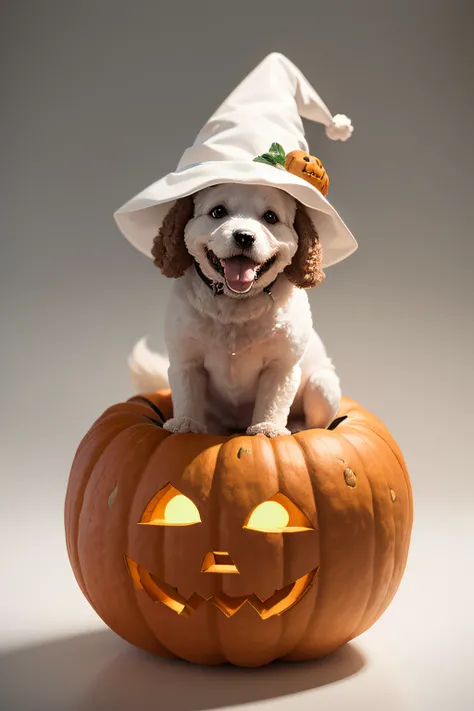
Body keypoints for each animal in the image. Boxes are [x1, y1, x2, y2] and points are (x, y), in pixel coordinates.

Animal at [128, 184, 338, 436]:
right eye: (218, 211)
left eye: (270, 217)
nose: (244, 237)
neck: (235, 303)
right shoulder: (186, 360)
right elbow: (187, 395)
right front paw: (186, 424)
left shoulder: (281, 366)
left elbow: (273, 401)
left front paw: (268, 428)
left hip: (324, 388)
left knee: (318, 420)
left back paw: (297, 427)